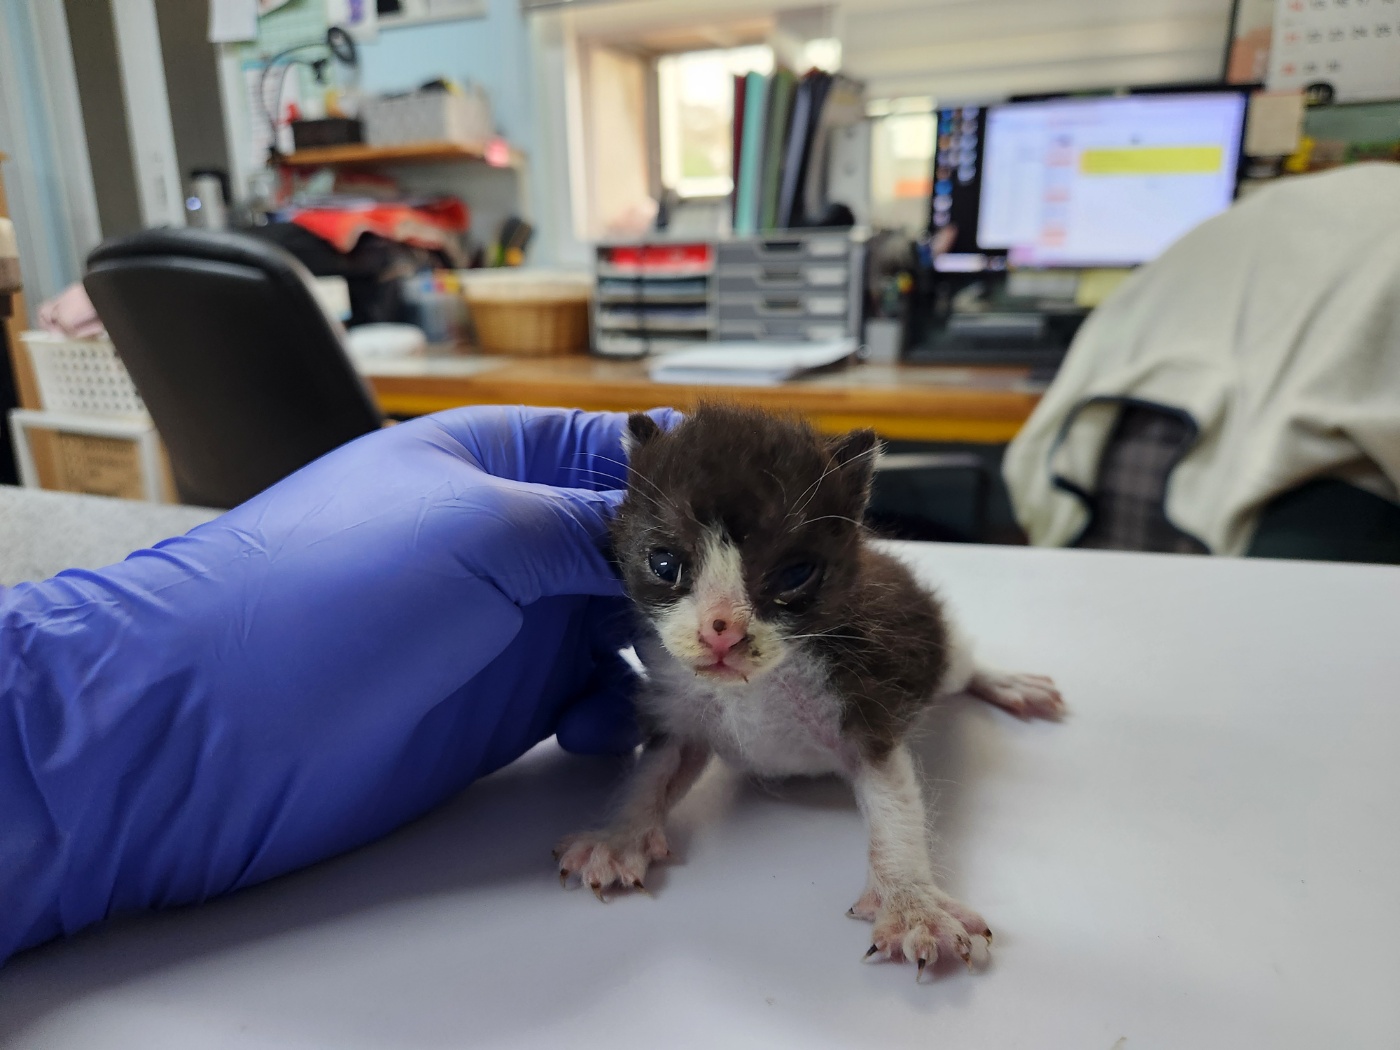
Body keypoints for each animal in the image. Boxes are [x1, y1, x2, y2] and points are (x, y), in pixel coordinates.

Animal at [557, 403, 1058, 980]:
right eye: (664, 563)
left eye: (795, 573)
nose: (720, 631)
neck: (754, 687)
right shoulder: (682, 711)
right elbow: (653, 772)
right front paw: (617, 839)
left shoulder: (864, 696)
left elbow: (893, 806)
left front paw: (913, 904)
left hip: (938, 652)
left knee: (960, 664)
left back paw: (1003, 680)